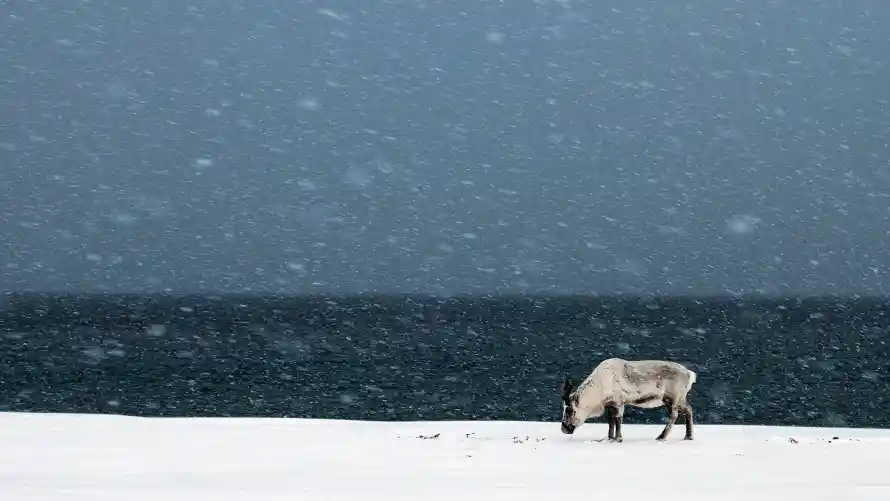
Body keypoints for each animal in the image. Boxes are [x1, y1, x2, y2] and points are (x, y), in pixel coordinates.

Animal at [560, 358, 697, 442]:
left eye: (569, 410)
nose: (564, 429)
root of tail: (690, 374)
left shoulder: (619, 402)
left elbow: (618, 420)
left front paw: (618, 439)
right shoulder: (610, 404)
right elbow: (610, 421)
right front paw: (610, 438)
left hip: (672, 398)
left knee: (674, 415)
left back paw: (661, 437)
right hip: (677, 399)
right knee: (689, 410)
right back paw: (688, 436)